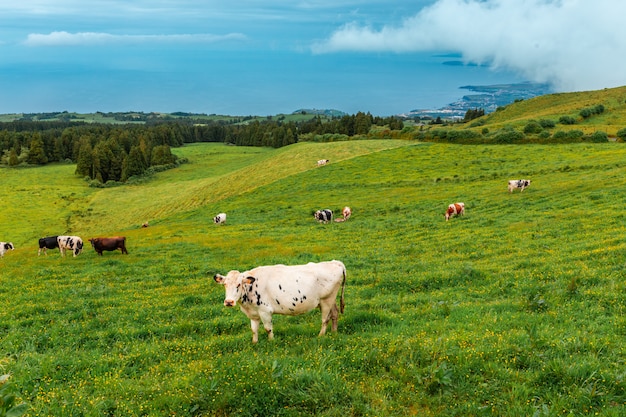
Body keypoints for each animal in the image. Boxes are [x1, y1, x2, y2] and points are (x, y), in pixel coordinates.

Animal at [212, 258, 344, 342]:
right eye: (225, 284)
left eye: (239, 284)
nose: (229, 302)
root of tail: (335, 262)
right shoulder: (254, 314)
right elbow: (254, 330)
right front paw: (254, 343)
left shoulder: (265, 311)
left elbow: (268, 328)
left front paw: (272, 342)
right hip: (330, 300)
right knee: (334, 314)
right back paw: (334, 332)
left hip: (326, 300)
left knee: (325, 319)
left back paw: (321, 335)